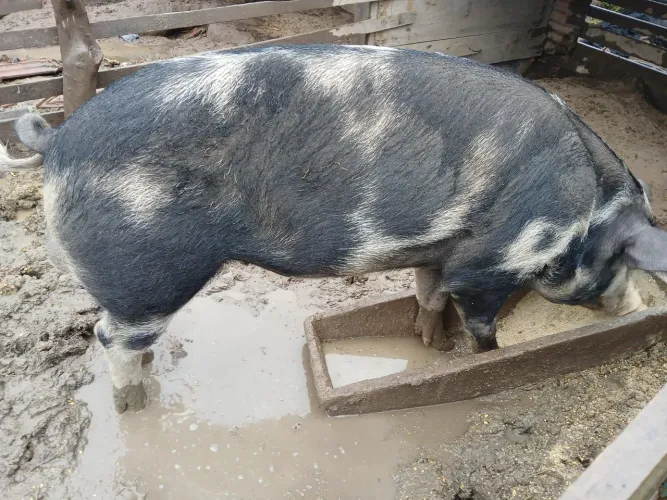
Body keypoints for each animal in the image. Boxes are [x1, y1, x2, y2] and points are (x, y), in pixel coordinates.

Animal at [1, 45, 666, 414]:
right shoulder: (490, 261)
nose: (637, 306)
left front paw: (429, 345)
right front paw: (483, 356)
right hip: (147, 273)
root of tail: (57, 141)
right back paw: (133, 405)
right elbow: (480, 321)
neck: (584, 208)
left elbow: (429, 292)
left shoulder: (440, 247)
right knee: (109, 336)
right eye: (623, 261)